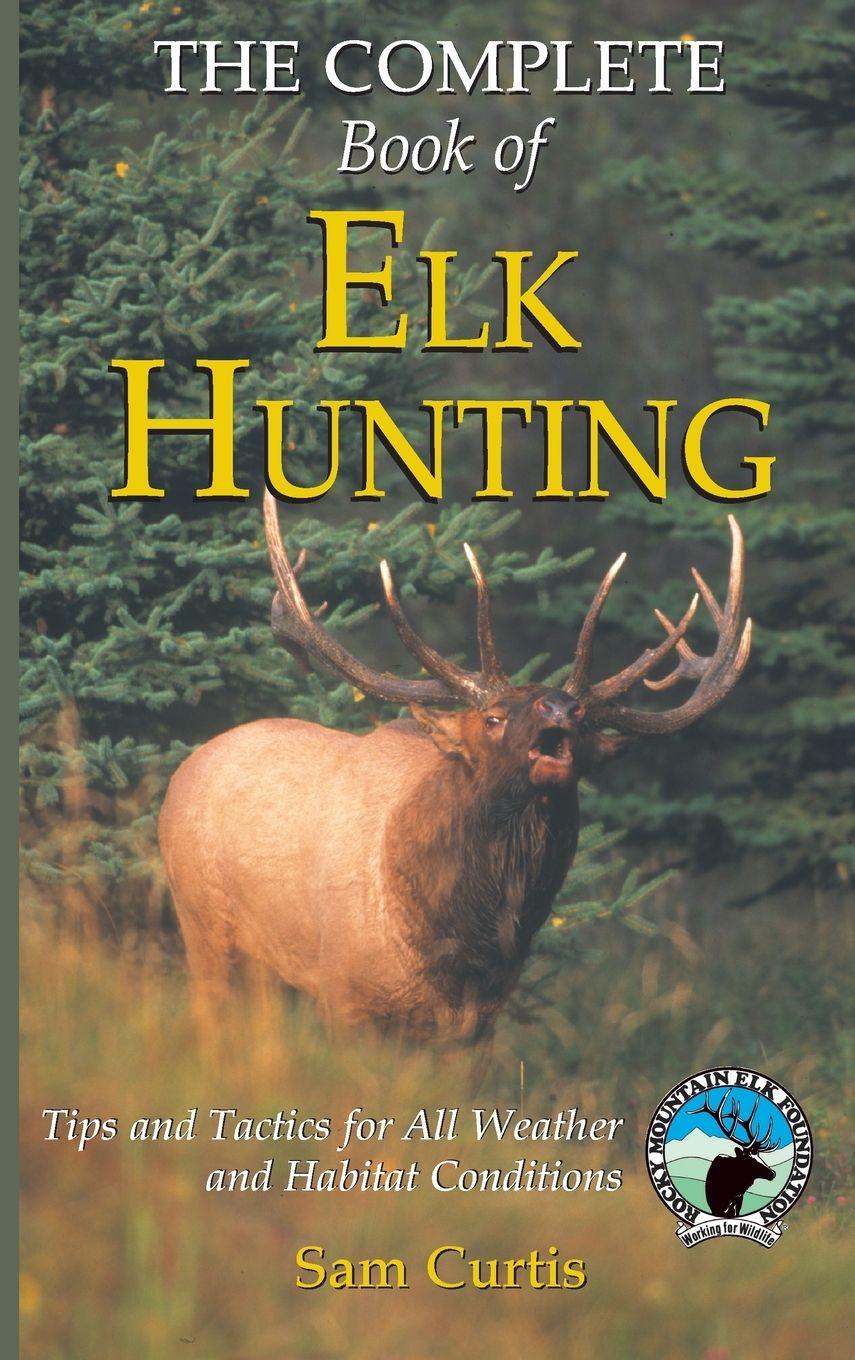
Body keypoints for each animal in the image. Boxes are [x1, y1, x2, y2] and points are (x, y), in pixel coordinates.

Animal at [158, 492, 751, 1040]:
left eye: (583, 725)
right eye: (492, 717)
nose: (562, 708)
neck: (464, 948)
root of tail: (180, 775)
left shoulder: (477, 1026)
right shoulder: (345, 997)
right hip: (204, 931)